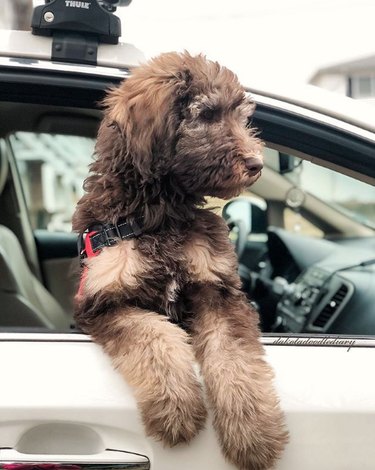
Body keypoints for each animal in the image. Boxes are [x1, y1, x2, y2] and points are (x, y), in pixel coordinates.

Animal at [75, 51, 290, 470]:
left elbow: (232, 355)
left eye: (241, 116)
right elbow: (152, 336)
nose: (257, 163)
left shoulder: (217, 287)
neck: (159, 215)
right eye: (205, 114)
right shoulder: (103, 301)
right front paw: (177, 409)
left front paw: (253, 432)